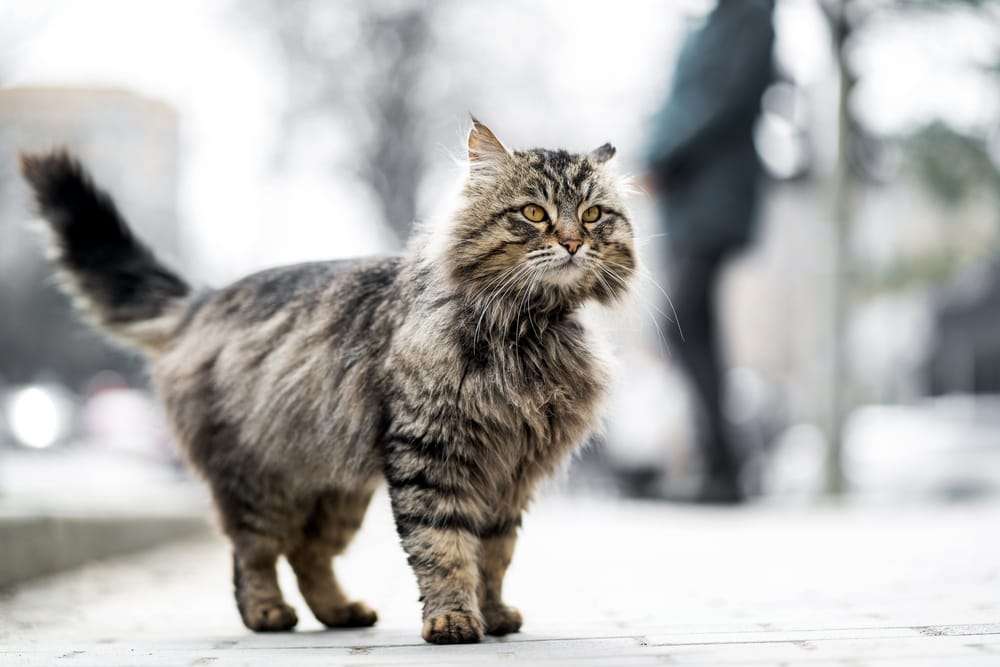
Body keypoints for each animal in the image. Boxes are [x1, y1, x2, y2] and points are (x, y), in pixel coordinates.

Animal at [21, 121, 632, 648]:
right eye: (533, 213)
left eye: (594, 214)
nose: (574, 243)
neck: (527, 329)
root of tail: (205, 300)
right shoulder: (430, 456)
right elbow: (444, 547)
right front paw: (453, 619)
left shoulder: (512, 474)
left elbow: (495, 554)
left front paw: (495, 612)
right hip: (260, 481)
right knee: (252, 552)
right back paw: (268, 613)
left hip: (336, 490)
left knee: (307, 555)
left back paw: (341, 612)